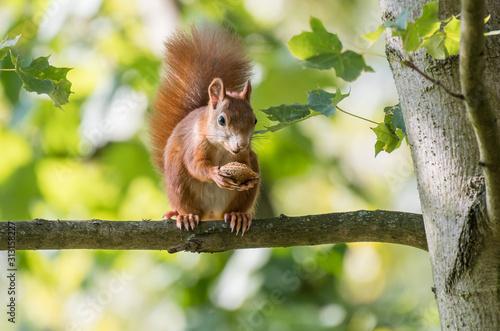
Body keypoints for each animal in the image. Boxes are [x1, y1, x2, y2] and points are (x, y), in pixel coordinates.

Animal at [148, 26, 260, 236]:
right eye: (221, 120)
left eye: (255, 120)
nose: (242, 144)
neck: (222, 148)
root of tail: (211, 214)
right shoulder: (195, 144)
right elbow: (196, 165)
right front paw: (215, 174)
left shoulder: (243, 157)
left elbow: (245, 166)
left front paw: (249, 181)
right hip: (178, 181)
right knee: (187, 205)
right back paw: (186, 216)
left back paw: (238, 216)